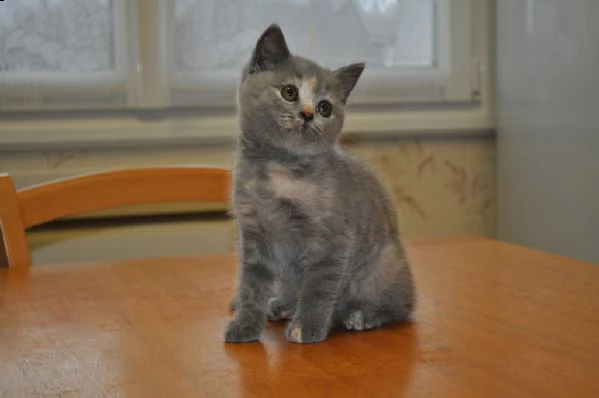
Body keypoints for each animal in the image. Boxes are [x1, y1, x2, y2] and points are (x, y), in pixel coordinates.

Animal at [225, 23, 418, 344]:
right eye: (289, 92)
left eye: (325, 108)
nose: (307, 114)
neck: (280, 168)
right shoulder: (253, 234)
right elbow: (251, 287)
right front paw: (245, 325)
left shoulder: (331, 238)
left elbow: (317, 287)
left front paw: (307, 328)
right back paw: (281, 304)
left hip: (381, 268)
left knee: (400, 305)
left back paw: (361, 315)